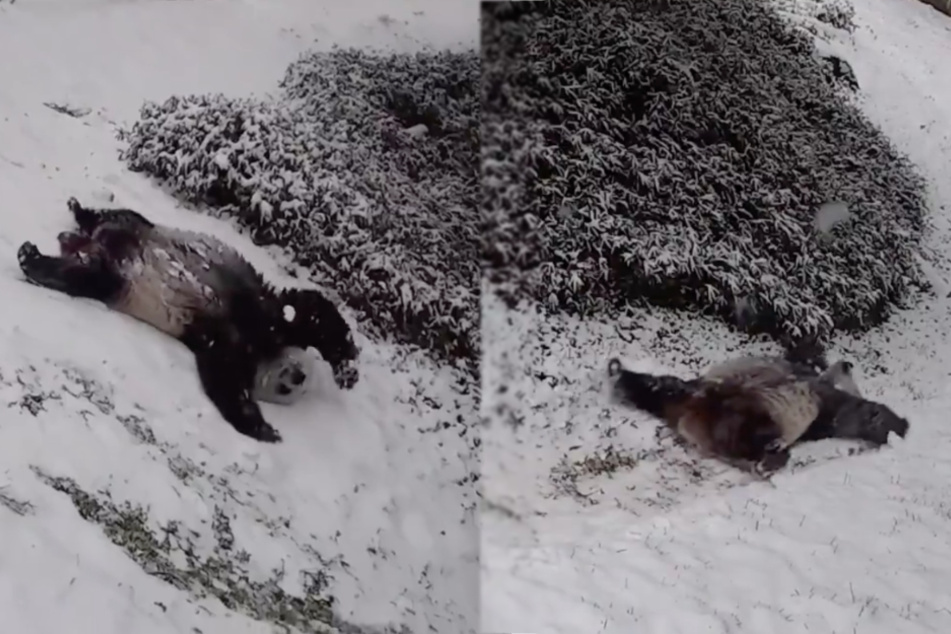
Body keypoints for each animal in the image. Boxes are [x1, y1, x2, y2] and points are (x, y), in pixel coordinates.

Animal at [18, 195, 360, 442]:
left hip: (116, 281)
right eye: (295, 381)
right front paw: (347, 368)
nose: (296, 377)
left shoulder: (216, 342)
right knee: (113, 216)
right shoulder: (267, 317)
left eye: (290, 391)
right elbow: (312, 313)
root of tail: (89, 242)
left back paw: (33, 258)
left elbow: (223, 380)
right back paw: (73, 213)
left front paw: (261, 426)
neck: (262, 351)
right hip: (140, 228)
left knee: (84, 276)